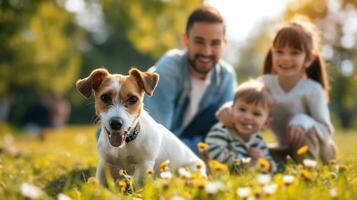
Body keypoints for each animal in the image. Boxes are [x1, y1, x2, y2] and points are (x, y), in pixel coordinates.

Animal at [76, 67, 206, 188]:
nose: (116, 123)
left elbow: (139, 185)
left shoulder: (144, 165)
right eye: (105, 97)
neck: (125, 144)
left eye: (133, 99)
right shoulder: (106, 164)